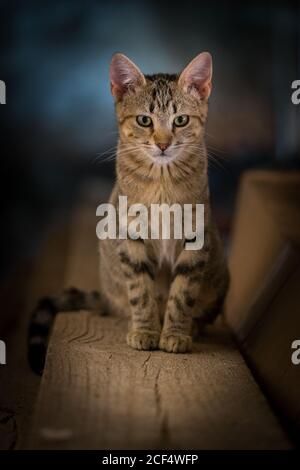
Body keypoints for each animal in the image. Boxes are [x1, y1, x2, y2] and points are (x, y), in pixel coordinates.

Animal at [28, 51, 230, 372]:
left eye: (181, 120)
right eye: (144, 120)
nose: (163, 144)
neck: (162, 182)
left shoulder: (196, 236)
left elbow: (182, 294)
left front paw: (175, 334)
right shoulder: (130, 235)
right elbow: (142, 291)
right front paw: (146, 331)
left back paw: (192, 327)